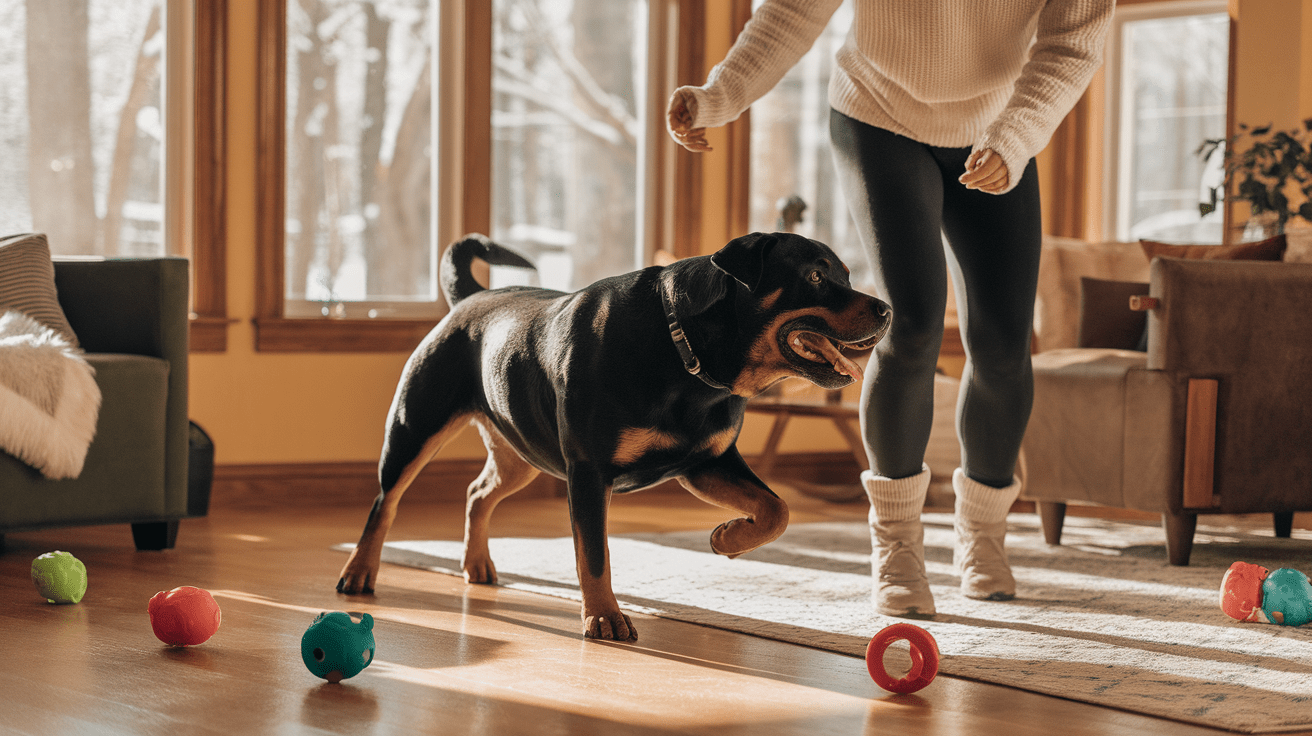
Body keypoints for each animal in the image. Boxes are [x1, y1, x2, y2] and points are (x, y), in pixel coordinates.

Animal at [338, 230, 892, 637]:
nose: (886, 309)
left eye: (845, 274)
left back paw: (477, 564)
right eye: (816, 276)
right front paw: (604, 615)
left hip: (521, 453)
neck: (688, 355)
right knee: (385, 502)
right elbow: (595, 553)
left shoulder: (707, 461)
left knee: (478, 491)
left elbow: (777, 509)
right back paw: (359, 572)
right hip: (414, 426)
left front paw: (730, 538)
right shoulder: (588, 471)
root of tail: (469, 298)